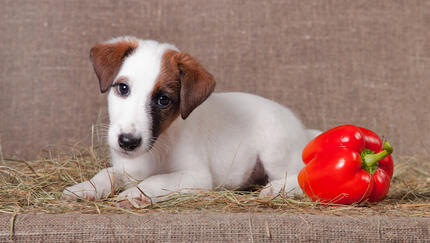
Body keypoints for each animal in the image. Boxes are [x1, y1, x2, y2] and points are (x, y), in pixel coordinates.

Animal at [63, 36, 320, 205]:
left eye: (163, 100)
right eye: (123, 88)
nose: (128, 142)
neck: (159, 145)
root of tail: (304, 130)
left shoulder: (196, 176)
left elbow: (155, 179)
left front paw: (135, 194)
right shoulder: (126, 168)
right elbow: (106, 173)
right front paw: (85, 187)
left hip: (274, 150)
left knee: (301, 177)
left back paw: (275, 189)